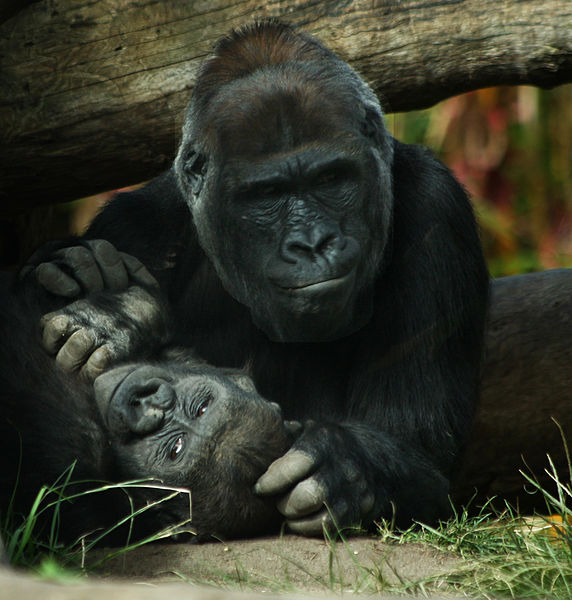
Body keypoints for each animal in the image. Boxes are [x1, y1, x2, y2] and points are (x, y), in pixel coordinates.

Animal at [29, 19, 490, 536]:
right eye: (267, 193)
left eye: (331, 179)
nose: (311, 242)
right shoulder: (135, 222)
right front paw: (117, 312)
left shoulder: (438, 207)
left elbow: (419, 449)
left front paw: (347, 470)